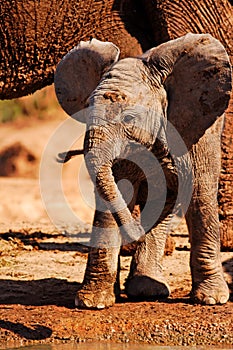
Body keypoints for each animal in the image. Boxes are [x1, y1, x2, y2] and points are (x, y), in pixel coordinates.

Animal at [54, 34, 231, 308]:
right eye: (86, 111)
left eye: (129, 118)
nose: (135, 234)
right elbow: (117, 189)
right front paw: (94, 303)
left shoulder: (196, 129)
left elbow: (199, 193)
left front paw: (212, 300)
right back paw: (146, 289)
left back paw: (148, 288)